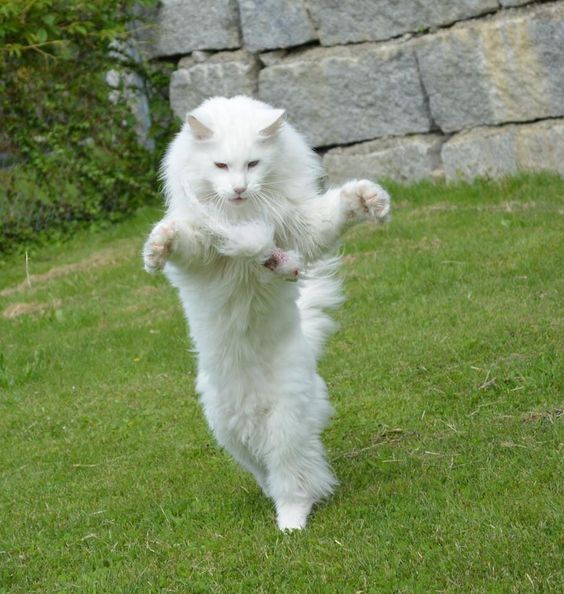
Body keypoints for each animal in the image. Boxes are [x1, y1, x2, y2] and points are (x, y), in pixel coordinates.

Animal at [143, 95, 390, 528]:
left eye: (253, 164)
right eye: (221, 166)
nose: (240, 189)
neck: (242, 215)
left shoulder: (301, 229)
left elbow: (337, 209)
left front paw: (369, 199)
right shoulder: (204, 254)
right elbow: (184, 238)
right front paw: (157, 248)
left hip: (286, 420)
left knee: (294, 475)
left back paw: (291, 522)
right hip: (227, 429)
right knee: (265, 470)